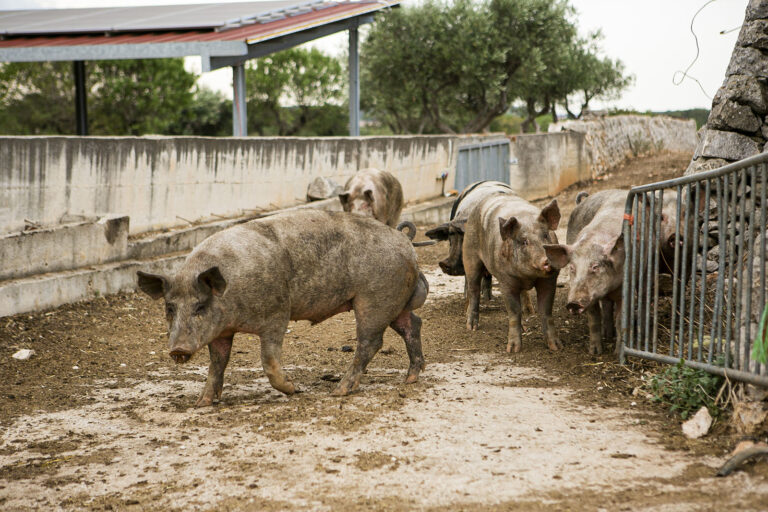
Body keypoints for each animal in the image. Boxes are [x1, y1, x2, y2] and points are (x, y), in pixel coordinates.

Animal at [136, 210, 428, 406]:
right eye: (169, 308)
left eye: (200, 306)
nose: (178, 349)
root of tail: (406, 244)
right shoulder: (221, 331)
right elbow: (217, 363)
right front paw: (202, 403)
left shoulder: (277, 314)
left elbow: (268, 361)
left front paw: (294, 389)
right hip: (394, 301)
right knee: (412, 325)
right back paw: (410, 378)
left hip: (374, 299)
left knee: (370, 342)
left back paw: (338, 391)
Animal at [460, 192, 560, 352]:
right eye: (524, 241)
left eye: (545, 235)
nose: (547, 260)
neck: (529, 277)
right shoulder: (506, 281)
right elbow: (514, 311)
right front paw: (512, 350)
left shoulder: (550, 280)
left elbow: (545, 310)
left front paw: (556, 347)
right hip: (469, 253)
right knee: (473, 288)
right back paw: (471, 327)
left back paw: (525, 326)